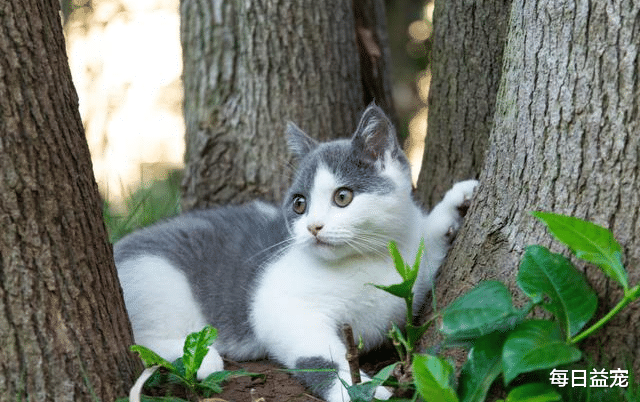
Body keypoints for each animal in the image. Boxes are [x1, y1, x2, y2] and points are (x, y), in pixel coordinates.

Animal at [115, 104, 478, 402]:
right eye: (299, 203)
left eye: (343, 197)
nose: (313, 227)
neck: (368, 259)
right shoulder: (278, 306)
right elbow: (316, 355)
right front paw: (359, 390)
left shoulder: (412, 273)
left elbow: (428, 247)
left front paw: (456, 204)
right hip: (155, 276)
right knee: (140, 341)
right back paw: (201, 360)